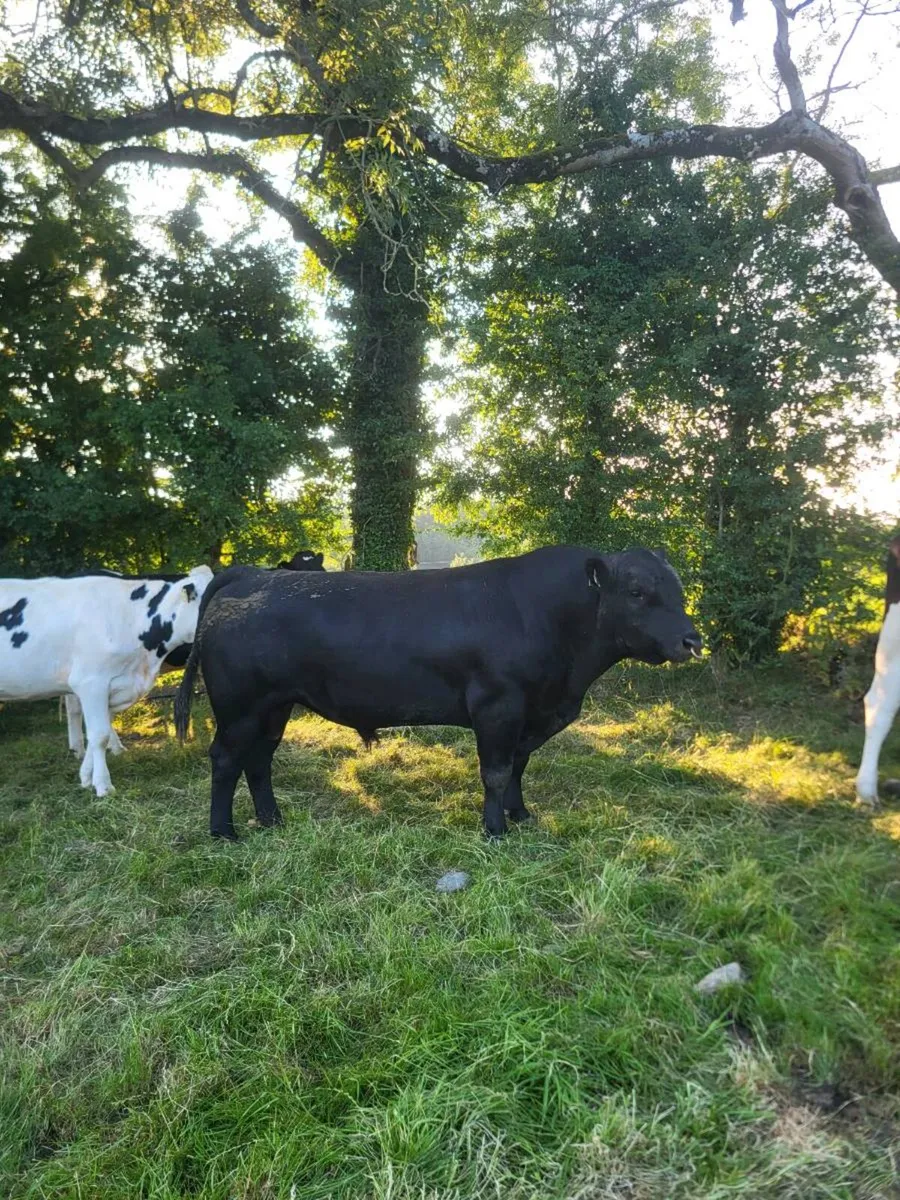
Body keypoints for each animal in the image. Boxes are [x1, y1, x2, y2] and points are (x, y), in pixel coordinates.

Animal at [0, 566, 213, 795]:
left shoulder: (113, 686)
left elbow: (100, 729)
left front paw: (86, 776)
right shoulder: (90, 682)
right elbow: (99, 734)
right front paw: (103, 785)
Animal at [174, 545, 702, 841]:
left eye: (678, 589)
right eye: (636, 591)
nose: (691, 640)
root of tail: (255, 573)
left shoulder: (530, 714)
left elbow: (518, 766)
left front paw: (521, 815)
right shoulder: (498, 706)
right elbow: (495, 771)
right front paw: (495, 830)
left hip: (276, 705)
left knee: (259, 759)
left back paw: (271, 820)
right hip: (240, 707)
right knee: (226, 759)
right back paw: (223, 832)